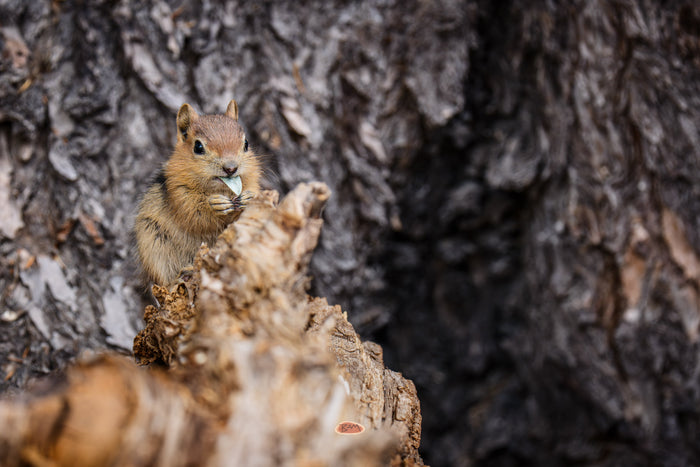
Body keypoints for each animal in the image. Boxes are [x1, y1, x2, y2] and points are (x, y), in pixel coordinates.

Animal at [134, 100, 261, 286]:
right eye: (198, 146)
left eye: (246, 144)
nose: (231, 168)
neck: (221, 189)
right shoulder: (179, 193)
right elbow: (195, 214)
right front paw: (215, 204)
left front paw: (248, 198)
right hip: (153, 244)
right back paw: (180, 277)